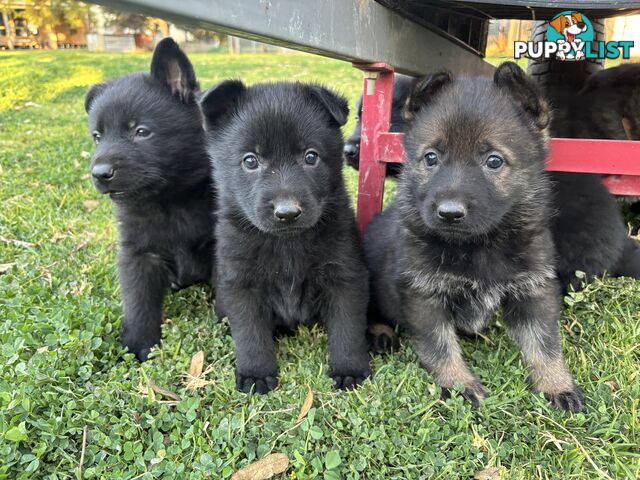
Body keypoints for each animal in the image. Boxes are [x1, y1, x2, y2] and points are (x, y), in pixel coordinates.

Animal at [84, 38, 215, 360]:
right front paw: (139, 344)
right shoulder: (138, 254)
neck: (169, 201)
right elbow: (138, 302)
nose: (100, 173)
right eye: (97, 136)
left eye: (141, 131)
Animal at [200, 80, 370, 392]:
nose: (287, 212)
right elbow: (250, 333)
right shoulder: (240, 282)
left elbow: (348, 328)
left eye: (311, 156)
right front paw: (256, 373)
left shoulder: (346, 275)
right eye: (250, 161)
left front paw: (349, 368)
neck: (287, 243)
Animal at [362, 62, 584, 410]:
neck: (479, 245)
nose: (449, 213)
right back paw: (380, 333)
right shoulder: (423, 294)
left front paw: (555, 383)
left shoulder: (533, 289)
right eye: (431, 157)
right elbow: (440, 345)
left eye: (493, 161)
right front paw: (457, 383)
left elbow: (544, 342)